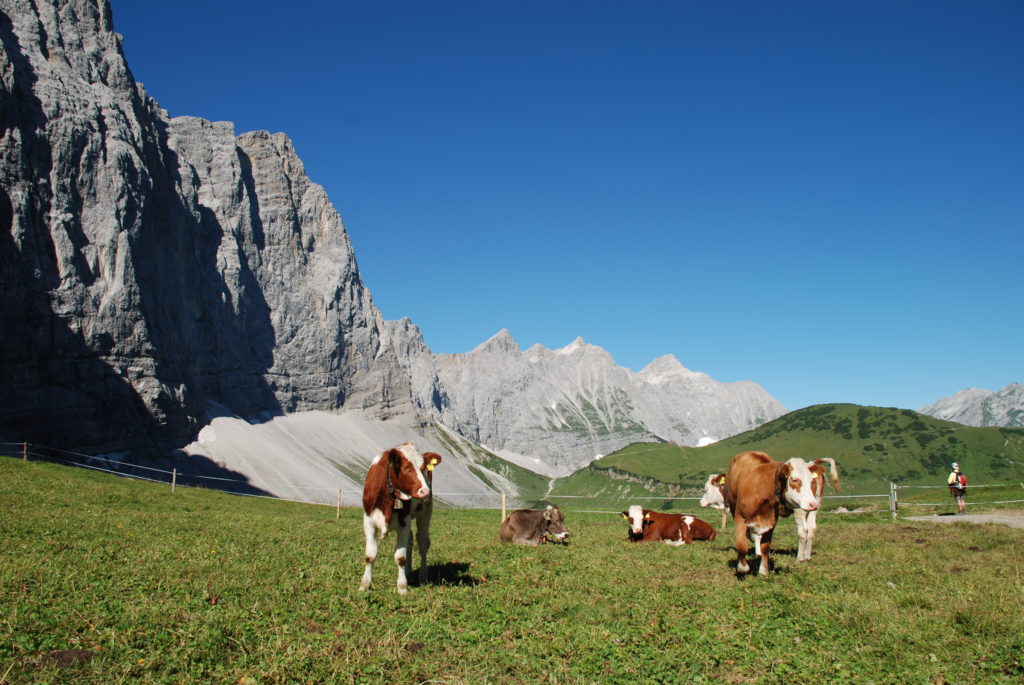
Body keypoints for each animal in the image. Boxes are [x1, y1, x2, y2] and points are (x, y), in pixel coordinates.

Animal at [358, 444, 442, 593]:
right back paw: (408, 572)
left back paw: (423, 575)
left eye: (423, 468)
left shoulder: (404, 522)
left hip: (425, 513)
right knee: (410, 541)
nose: (425, 491)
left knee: (423, 543)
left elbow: (400, 557)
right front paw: (365, 584)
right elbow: (370, 555)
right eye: (406, 467)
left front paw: (402, 587)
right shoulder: (368, 521)